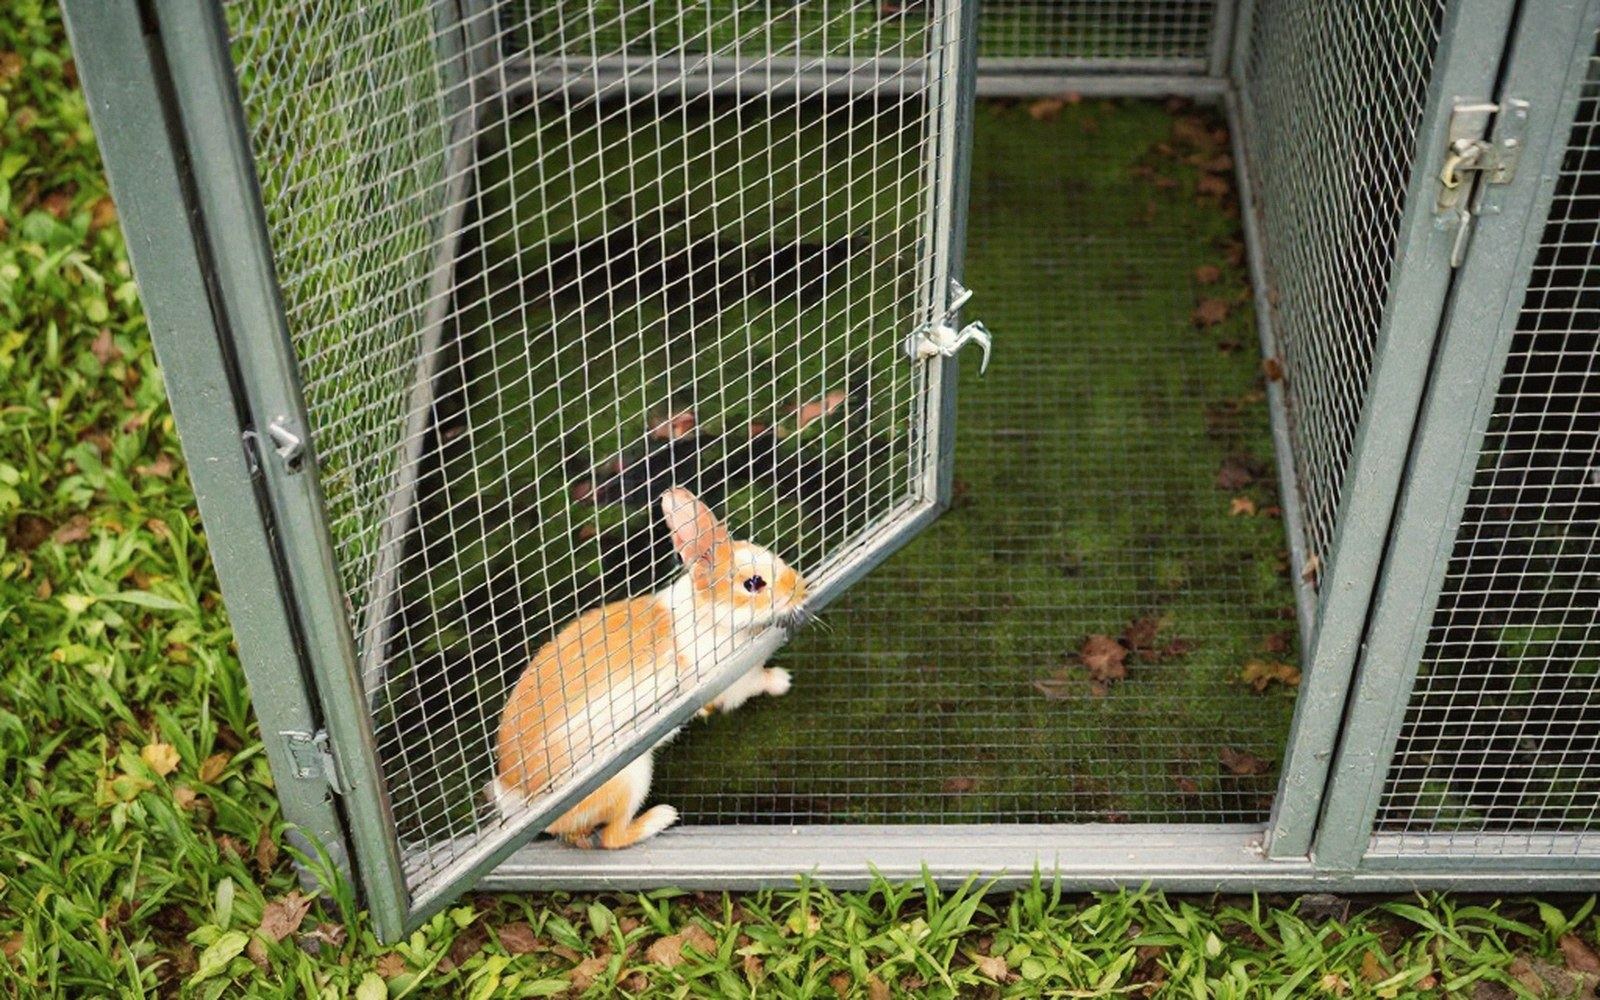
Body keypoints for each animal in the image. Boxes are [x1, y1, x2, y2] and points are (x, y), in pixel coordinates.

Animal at [492, 487, 809, 848]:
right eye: (754, 583)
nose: (800, 588)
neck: (710, 614)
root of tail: (519, 799)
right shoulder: (732, 684)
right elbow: (756, 682)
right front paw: (782, 680)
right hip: (631, 777)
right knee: (612, 837)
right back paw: (663, 817)